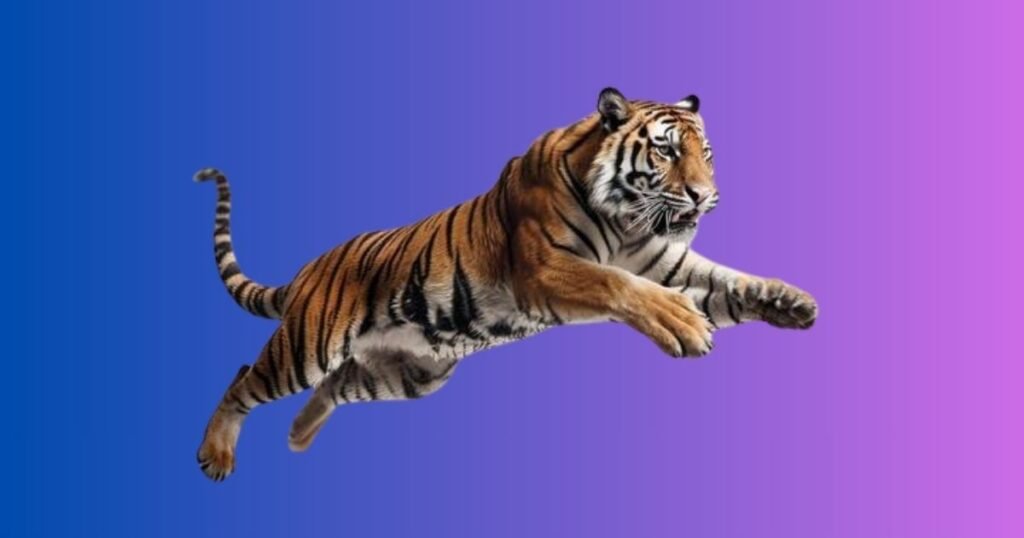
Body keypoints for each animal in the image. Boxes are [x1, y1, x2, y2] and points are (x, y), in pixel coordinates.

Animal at [195, 88, 818, 481]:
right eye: (666, 150)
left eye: (705, 153)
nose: (706, 196)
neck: (626, 219)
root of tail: (309, 269)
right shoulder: (543, 271)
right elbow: (617, 284)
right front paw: (682, 322)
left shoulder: (663, 261)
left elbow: (726, 279)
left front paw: (790, 300)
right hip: (308, 345)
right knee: (244, 379)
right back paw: (215, 455)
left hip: (410, 374)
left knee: (333, 386)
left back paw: (298, 436)